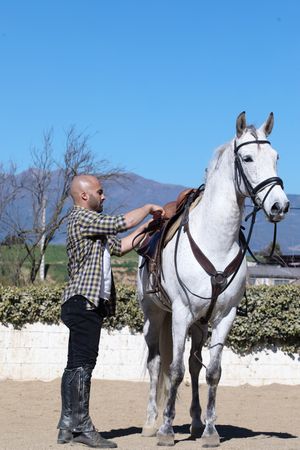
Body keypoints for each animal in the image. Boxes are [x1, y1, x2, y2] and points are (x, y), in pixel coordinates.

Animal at [137, 112, 290, 446]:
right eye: (247, 158)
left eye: (276, 157)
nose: (280, 206)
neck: (216, 240)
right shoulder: (180, 313)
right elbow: (174, 370)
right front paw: (167, 431)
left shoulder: (224, 316)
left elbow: (213, 372)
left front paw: (210, 430)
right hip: (155, 315)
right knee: (156, 363)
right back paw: (151, 422)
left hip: (200, 323)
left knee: (195, 366)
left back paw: (195, 423)